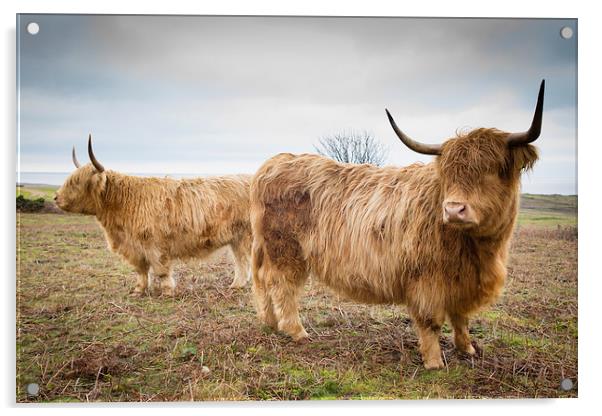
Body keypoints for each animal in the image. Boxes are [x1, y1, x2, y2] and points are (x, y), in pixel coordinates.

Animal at [55, 138, 252, 298]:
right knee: (242, 262)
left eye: (76, 182)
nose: (56, 197)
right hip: (237, 239)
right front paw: (138, 291)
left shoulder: (155, 246)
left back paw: (236, 286)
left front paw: (167, 291)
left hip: (246, 237)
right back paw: (237, 285)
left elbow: (161, 270)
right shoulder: (134, 248)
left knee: (244, 261)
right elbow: (140, 271)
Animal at [248, 80, 544, 368]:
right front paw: (434, 362)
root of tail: (273, 163)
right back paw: (296, 331)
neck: (479, 249)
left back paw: (271, 323)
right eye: (448, 173)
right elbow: (430, 321)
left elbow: (461, 317)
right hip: (285, 249)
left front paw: (468, 348)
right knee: (281, 284)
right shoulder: (426, 277)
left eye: (492, 171)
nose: (453, 210)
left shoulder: (462, 281)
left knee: (263, 280)